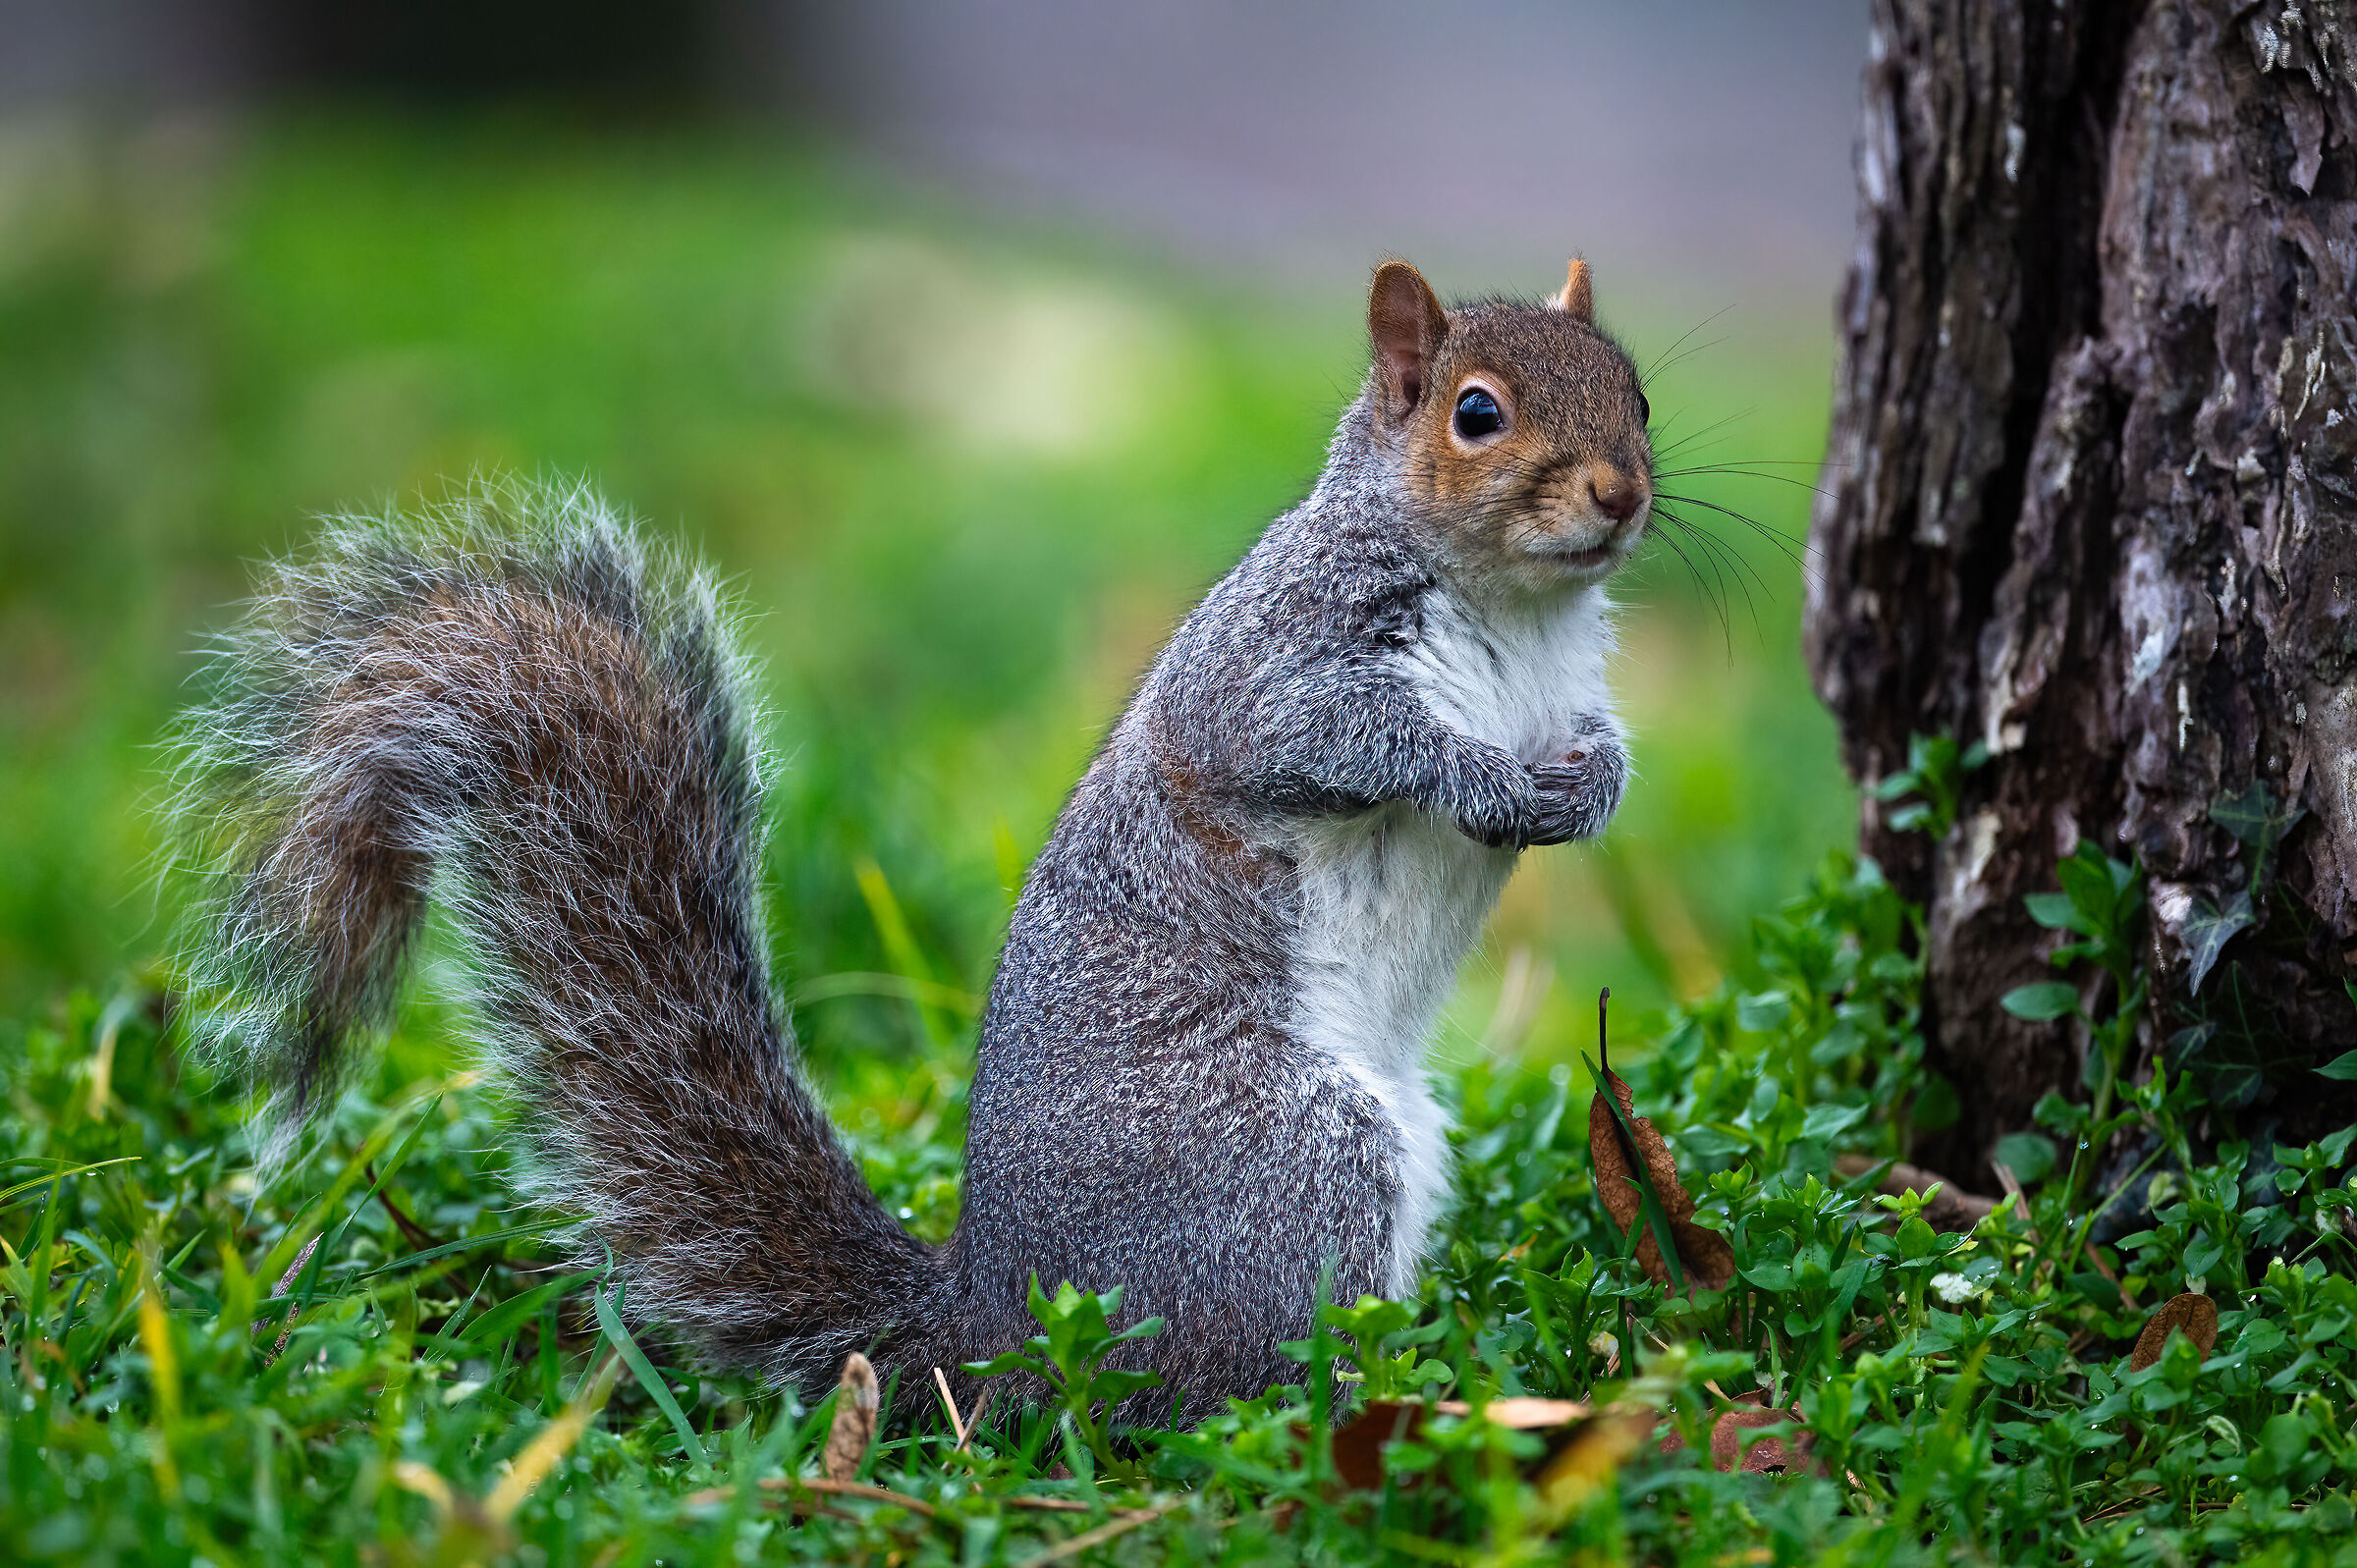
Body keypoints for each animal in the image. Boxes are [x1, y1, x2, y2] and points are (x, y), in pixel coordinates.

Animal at [172, 257, 1652, 1421]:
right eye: (1476, 413)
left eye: (1635, 391)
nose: (1623, 494)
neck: (1513, 614)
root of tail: (990, 1333)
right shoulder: (1279, 653)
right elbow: (1308, 736)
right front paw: (1488, 783)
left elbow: (1604, 742)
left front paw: (1591, 789)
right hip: (1291, 1158)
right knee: (1221, 1388)